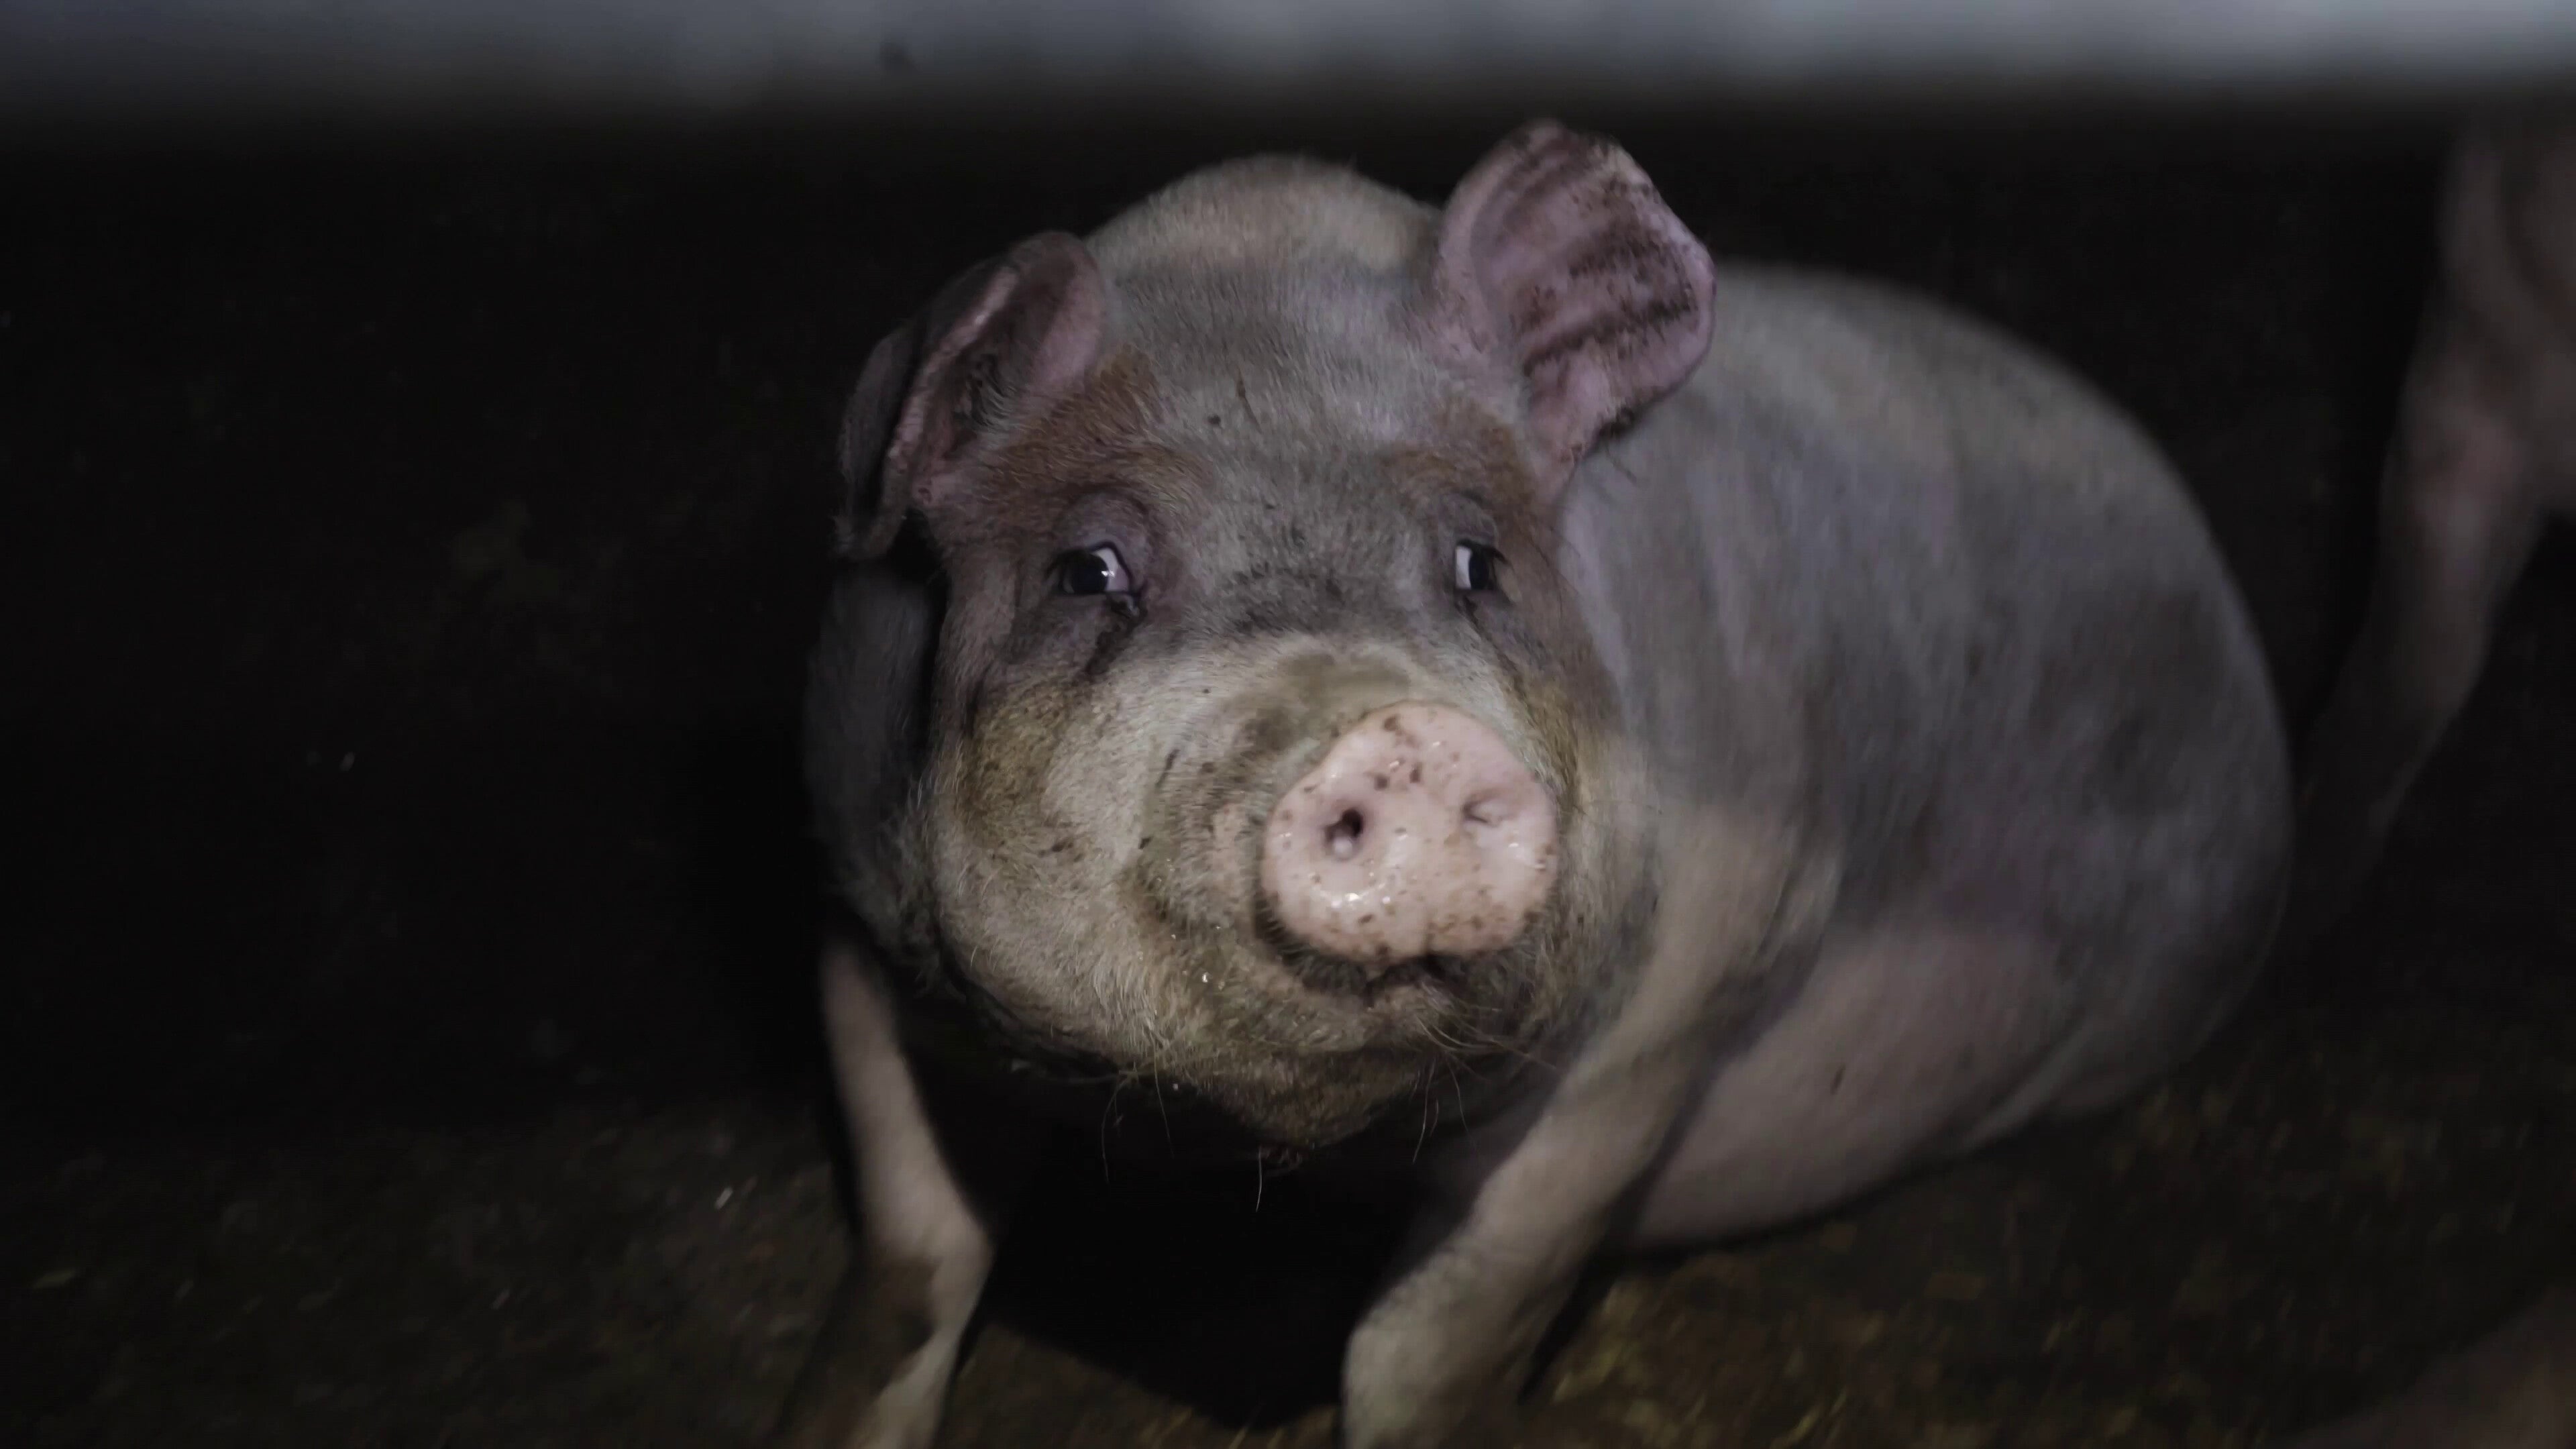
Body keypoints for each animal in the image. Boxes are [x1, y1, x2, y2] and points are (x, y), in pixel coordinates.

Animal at [779, 121, 2293, 1449]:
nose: (1399, 733)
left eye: (1479, 563)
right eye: (1088, 569)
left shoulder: (1679, 999)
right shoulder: (855, 912)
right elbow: (913, 1260)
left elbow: (1430, 1336)